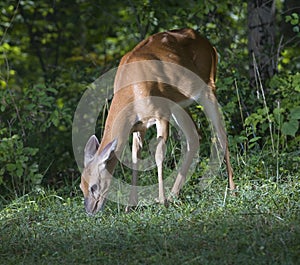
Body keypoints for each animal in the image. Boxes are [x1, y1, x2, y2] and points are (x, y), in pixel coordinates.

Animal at [81, 27, 236, 213]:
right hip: (178, 105)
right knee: (194, 136)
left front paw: (161, 201)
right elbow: (135, 157)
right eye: (81, 187)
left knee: (220, 133)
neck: (132, 92)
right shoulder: (138, 126)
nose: (90, 211)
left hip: (207, 87)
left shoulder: (161, 113)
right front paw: (131, 205)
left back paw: (232, 189)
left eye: (94, 186)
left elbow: (158, 155)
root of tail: (209, 44)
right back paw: (174, 194)